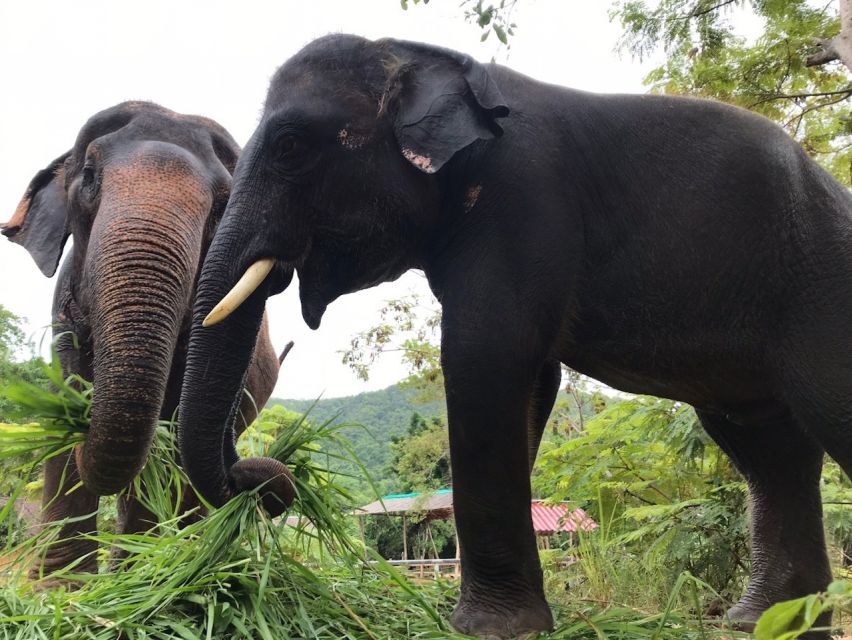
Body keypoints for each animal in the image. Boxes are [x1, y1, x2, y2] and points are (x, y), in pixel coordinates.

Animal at [3, 101, 293, 580]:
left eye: (222, 205)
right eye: (88, 175)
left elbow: (166, 438)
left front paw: (132, 582)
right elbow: (64, 409)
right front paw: (61, 588)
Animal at [176, 34, 852, 638]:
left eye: (290, 145)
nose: (265, 479)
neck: (415, 55)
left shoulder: (524, 196)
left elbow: (485, 354)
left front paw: (490, 629)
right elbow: (530, 378)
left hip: (823, 284)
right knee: (766, 448)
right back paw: (771, 623)